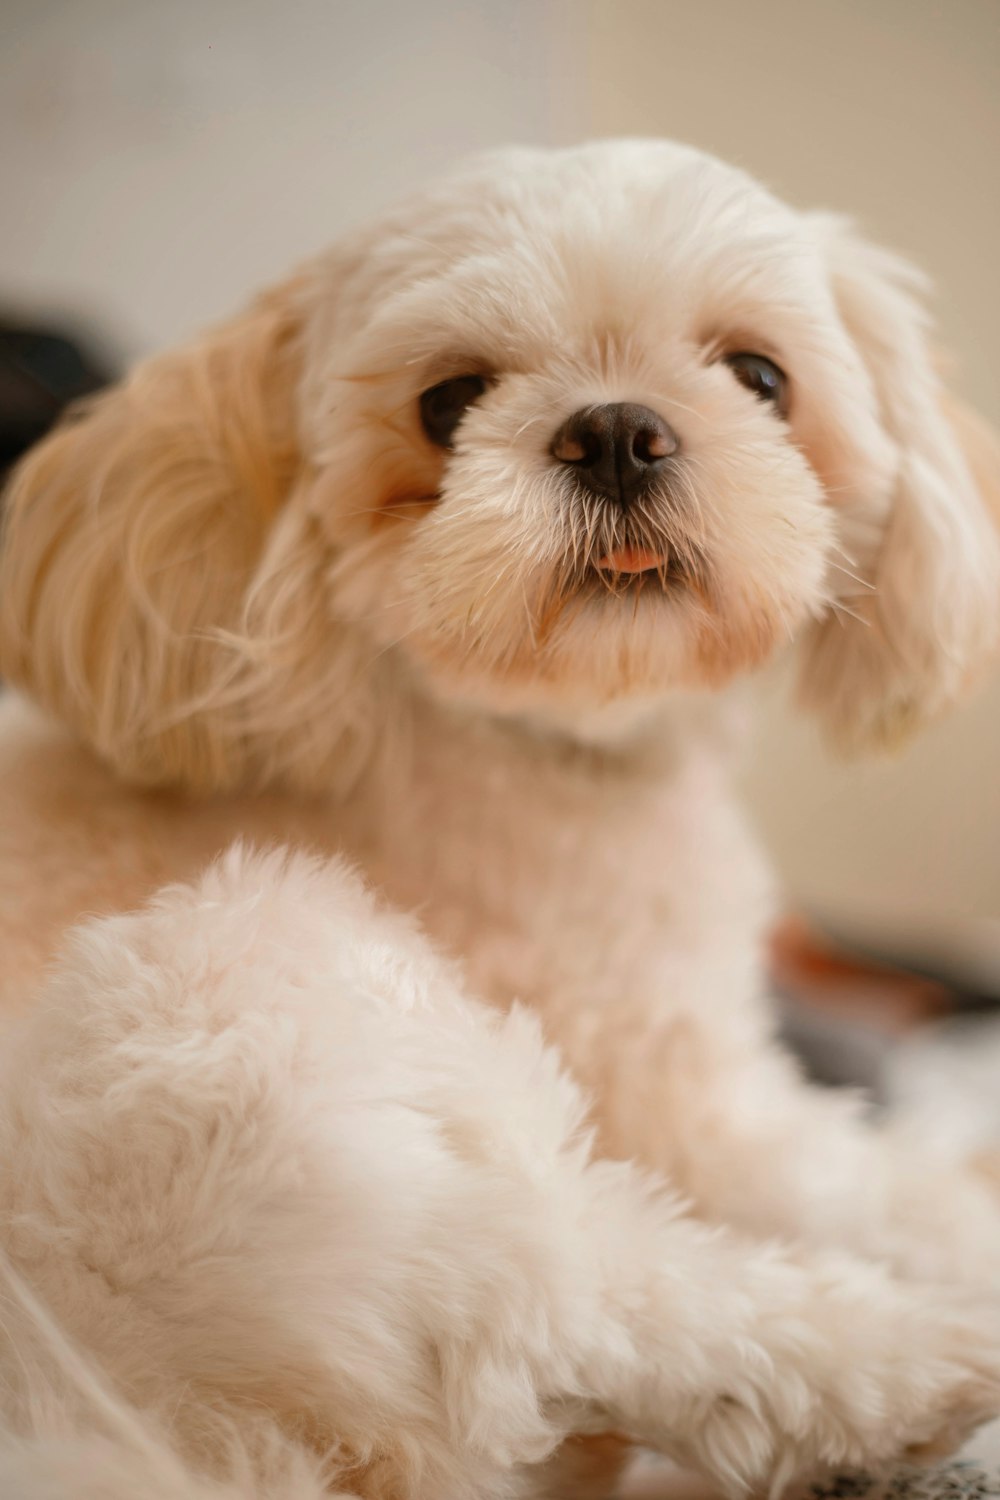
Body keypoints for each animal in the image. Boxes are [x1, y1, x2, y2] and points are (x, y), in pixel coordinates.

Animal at [1, 138, 1000, 1488]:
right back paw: (913, 1364)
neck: (554, 747)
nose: (618, 431)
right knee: (595, 1306)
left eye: (759, 376)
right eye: (449, 401)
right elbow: (895, 1193)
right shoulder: (686, 1099)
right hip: (230, 1003)